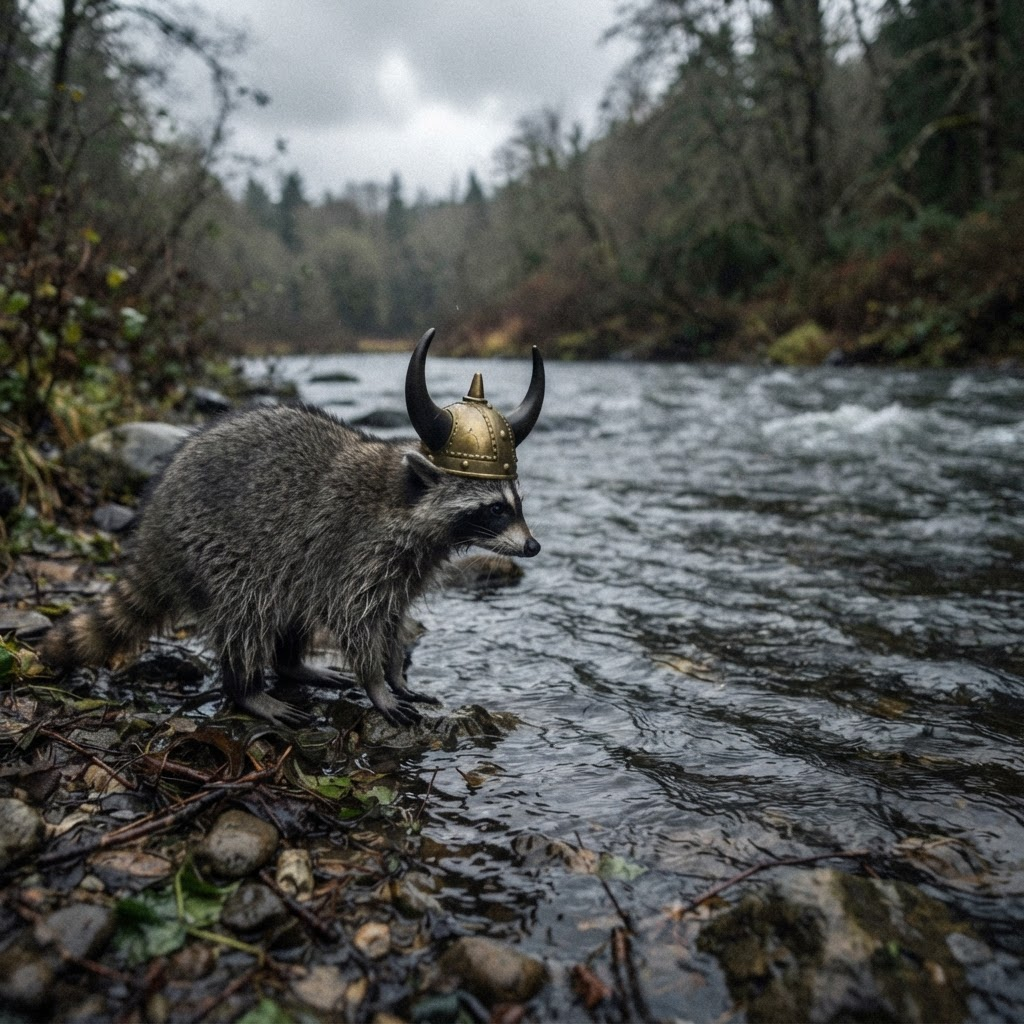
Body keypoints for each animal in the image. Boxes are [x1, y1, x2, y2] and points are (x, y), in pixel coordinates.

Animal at [40, 330, 544, 727]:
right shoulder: (358, 549)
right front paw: (376, 683)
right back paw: (246, 688)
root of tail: (153, 526)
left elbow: (391, 621)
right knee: (246, 612)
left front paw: (396, 673)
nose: (534, 546)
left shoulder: (406, 565)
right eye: (494, 510)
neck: (405, 497)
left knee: (290, 605)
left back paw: (291, 666)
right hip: (217, 549)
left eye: (517, 504)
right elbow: (353, 619)